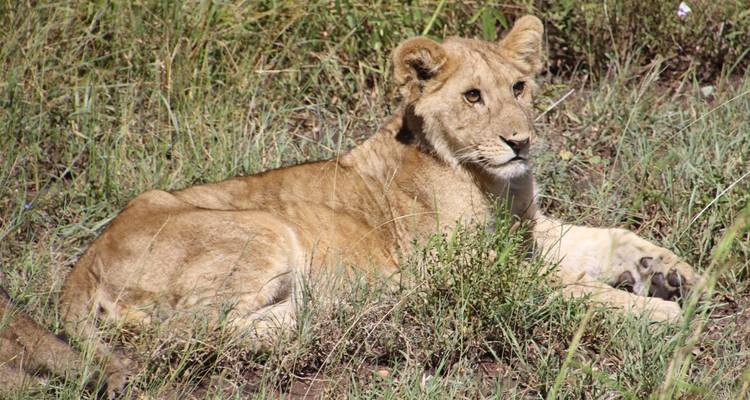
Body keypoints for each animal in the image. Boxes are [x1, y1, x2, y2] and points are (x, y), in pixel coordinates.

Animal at [14, 15, 699, 392]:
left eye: (520, 87)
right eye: (473, 96)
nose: (520, 141)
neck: (494, 180)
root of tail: (80, 268)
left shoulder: (529, 233)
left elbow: (608, 237)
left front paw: (669, 271)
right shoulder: (466, 275)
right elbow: (575, 292)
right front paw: (663, 314)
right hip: (262, 228)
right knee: (185, 333)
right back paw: (321, 315)